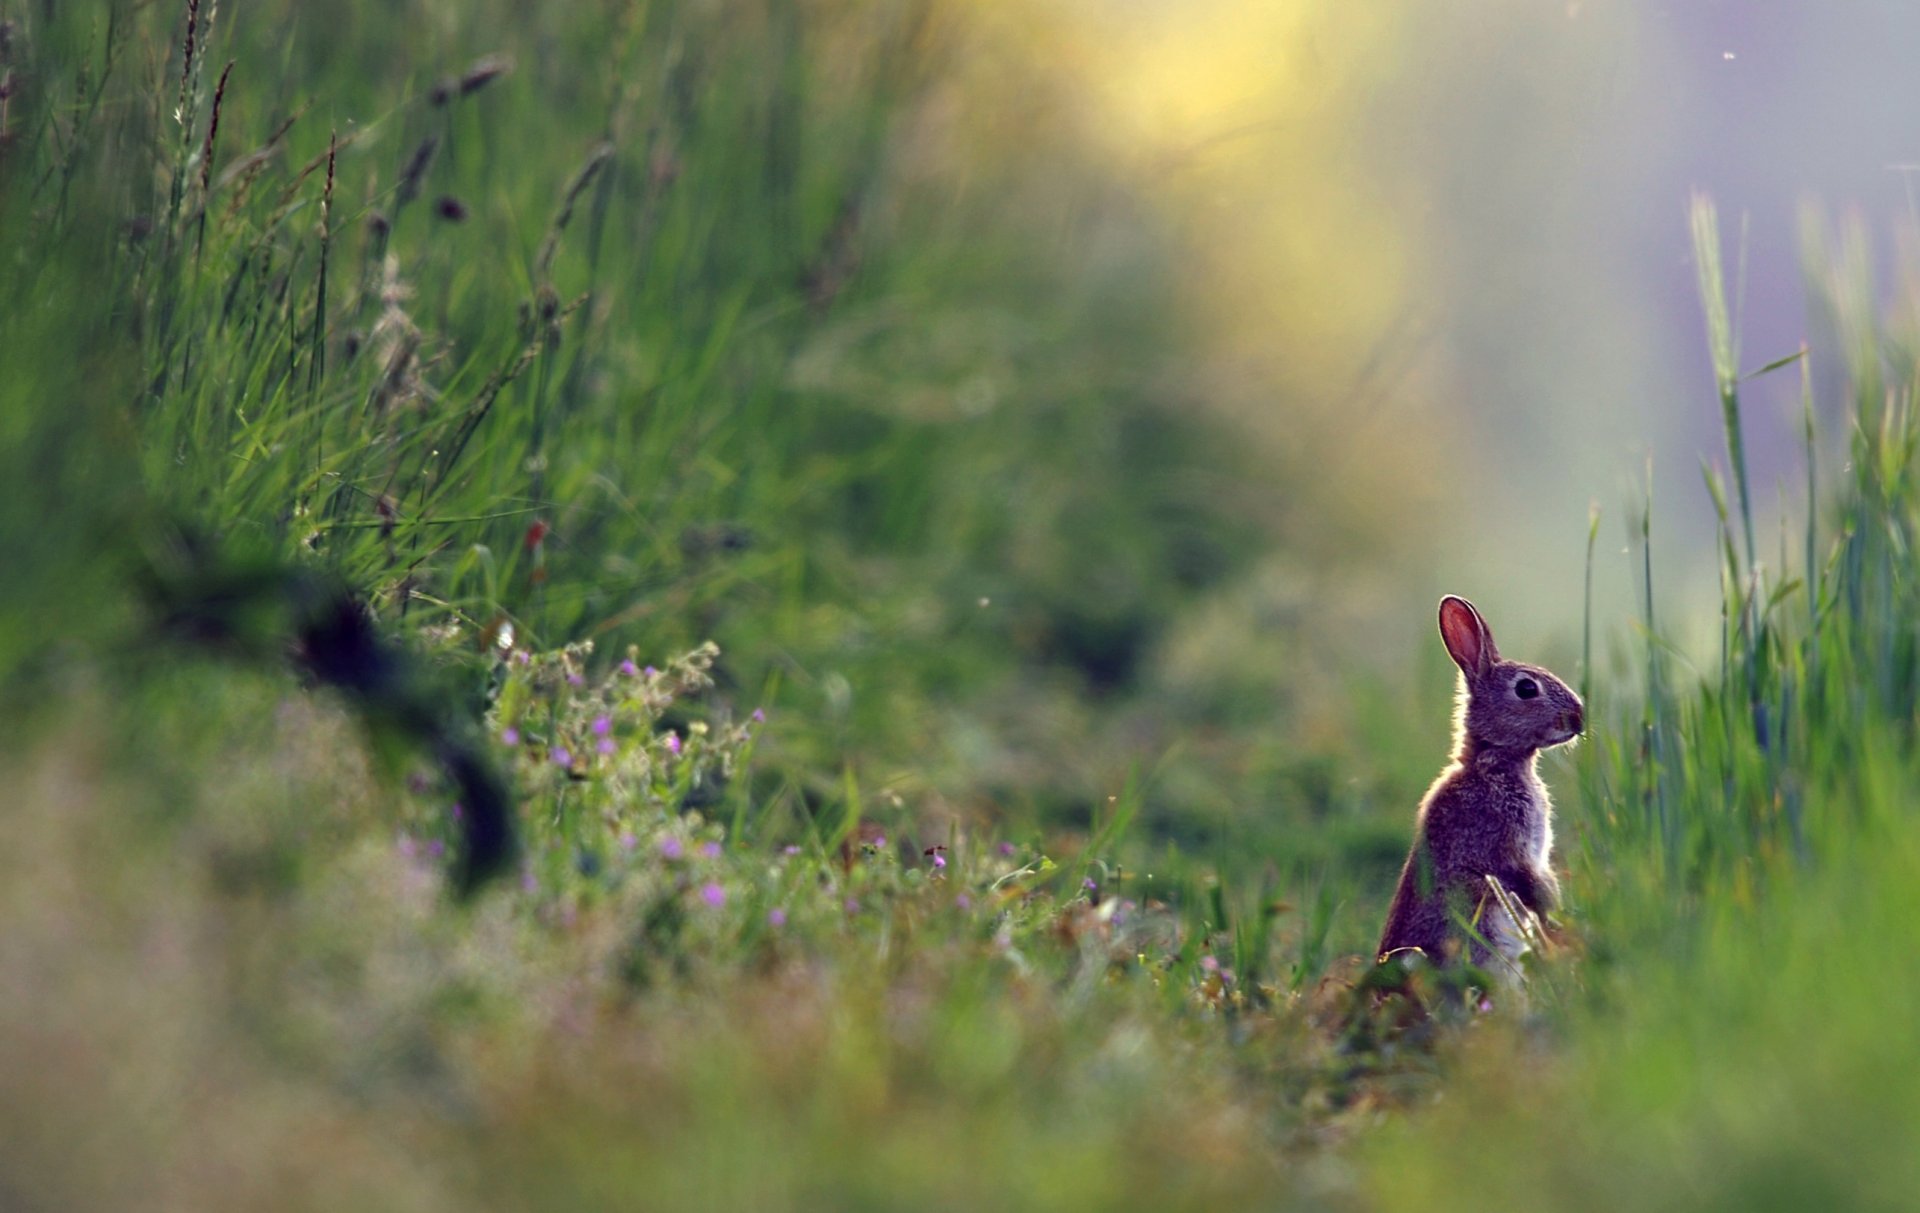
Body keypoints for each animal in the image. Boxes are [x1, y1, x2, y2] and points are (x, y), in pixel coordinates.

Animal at [1382, 594, 1589, 982]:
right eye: (1526, 688)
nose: (1579, 719)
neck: (1492, 761)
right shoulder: (1510, 849)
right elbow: (1535, 886)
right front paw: (1558, 928)